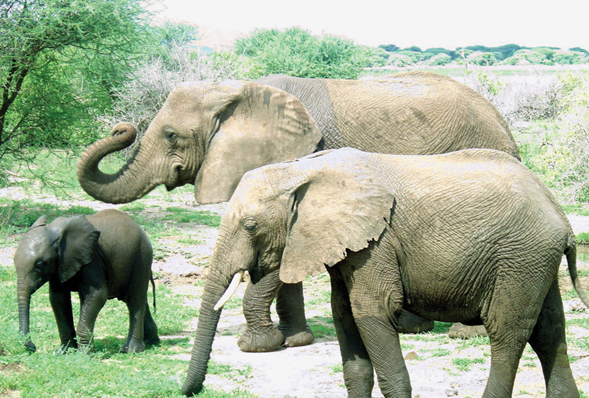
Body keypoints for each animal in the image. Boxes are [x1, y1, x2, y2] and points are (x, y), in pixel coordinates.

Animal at [14, 210, 158, 352]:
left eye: (38, 265)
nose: (32, 347)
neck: (55, 231)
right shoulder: (60, 265)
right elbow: (58, 299)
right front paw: (64, 352)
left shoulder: (92, 261)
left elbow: (97, 295)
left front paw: (84, 354)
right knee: (136, 299)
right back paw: (151, 342)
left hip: (141, 258)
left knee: (134, 300)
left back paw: (131, 349)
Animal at [77, 70, 520, 352]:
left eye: (171, 135)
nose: (121, 128)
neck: (237, 89)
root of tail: (502, 120)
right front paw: (295, 341)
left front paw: (268, 344)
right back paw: (414, 328)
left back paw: (463, 334)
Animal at [184, 148, 588, 398]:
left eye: (250, 226)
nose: (191, 390)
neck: (302, 169)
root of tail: (560, 214)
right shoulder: (348, 248)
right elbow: (345, 318)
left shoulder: (376, 244)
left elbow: (373, 311)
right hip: (534, 260)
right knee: (550, 330)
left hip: (518, 256)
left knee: (507, 333)